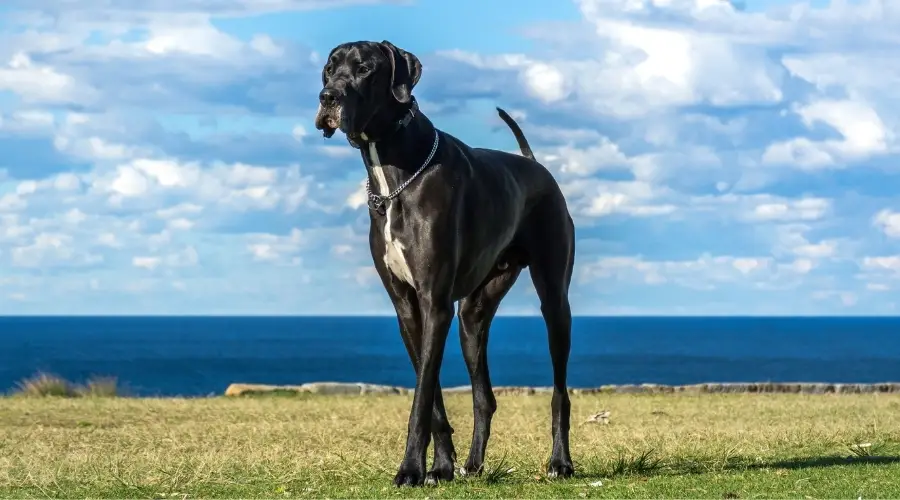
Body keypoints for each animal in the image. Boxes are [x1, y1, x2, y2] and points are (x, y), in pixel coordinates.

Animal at [312, 41, 572, 486]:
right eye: (329, 69)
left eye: (364, 69)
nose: (328, 97)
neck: (395, 174)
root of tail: (535, 164)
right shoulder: (408, 307)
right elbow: (429, 393)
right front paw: (441, 467)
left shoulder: (435, 302)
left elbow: (420, 397)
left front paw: (410, 470)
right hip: (472, 315)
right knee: (484, 397)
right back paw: (473, 464)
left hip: (554, 299)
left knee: (560, 392)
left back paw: (560, 462)